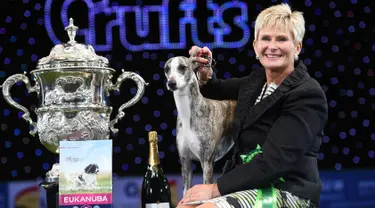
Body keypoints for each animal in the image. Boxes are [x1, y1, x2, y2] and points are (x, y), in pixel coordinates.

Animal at [165, 55, 236, 193]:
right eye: (167, 69)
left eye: (182, 67)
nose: (171, 83)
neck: (188, 114)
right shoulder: (185, 161)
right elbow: (185, 191)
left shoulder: (207, 161)